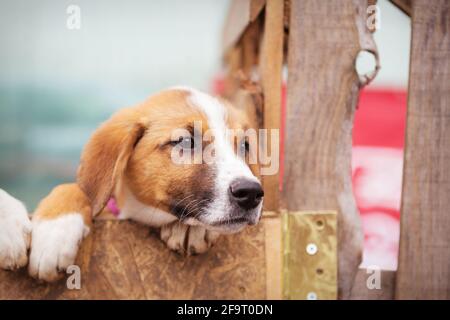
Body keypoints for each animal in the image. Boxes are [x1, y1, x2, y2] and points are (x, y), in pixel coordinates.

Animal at [0, 87, 264, 280]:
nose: (251, 193)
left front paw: (191, 229)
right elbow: (75, 188)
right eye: (186, 142)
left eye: (245, 146)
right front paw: (53, 233)